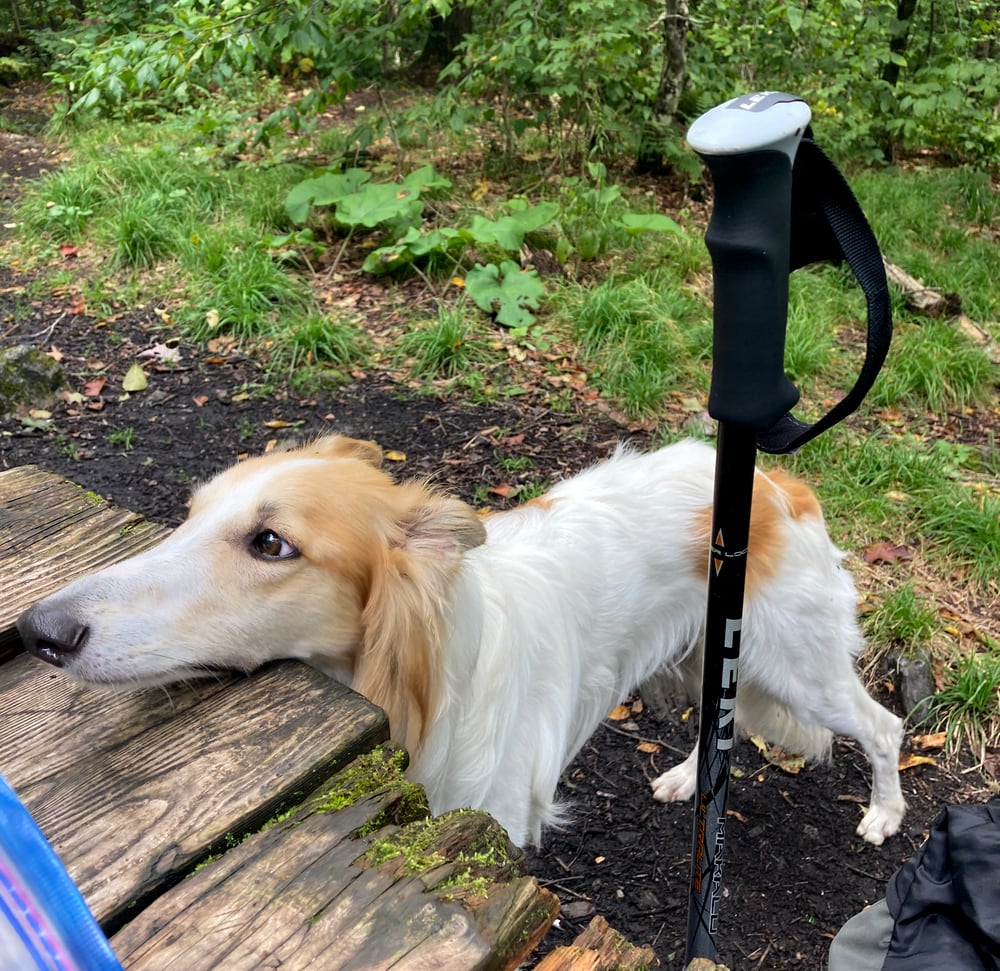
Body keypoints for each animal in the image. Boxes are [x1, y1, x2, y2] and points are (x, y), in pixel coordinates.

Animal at [17, 436, 908, 848]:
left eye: (271, 543)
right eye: (191, 513)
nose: (37, 630)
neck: (432, 675)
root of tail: (777, 481)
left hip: (795, 667)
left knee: (884, 725)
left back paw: (884, 814)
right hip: (714, 659)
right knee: (721, 730)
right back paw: (689, 779)